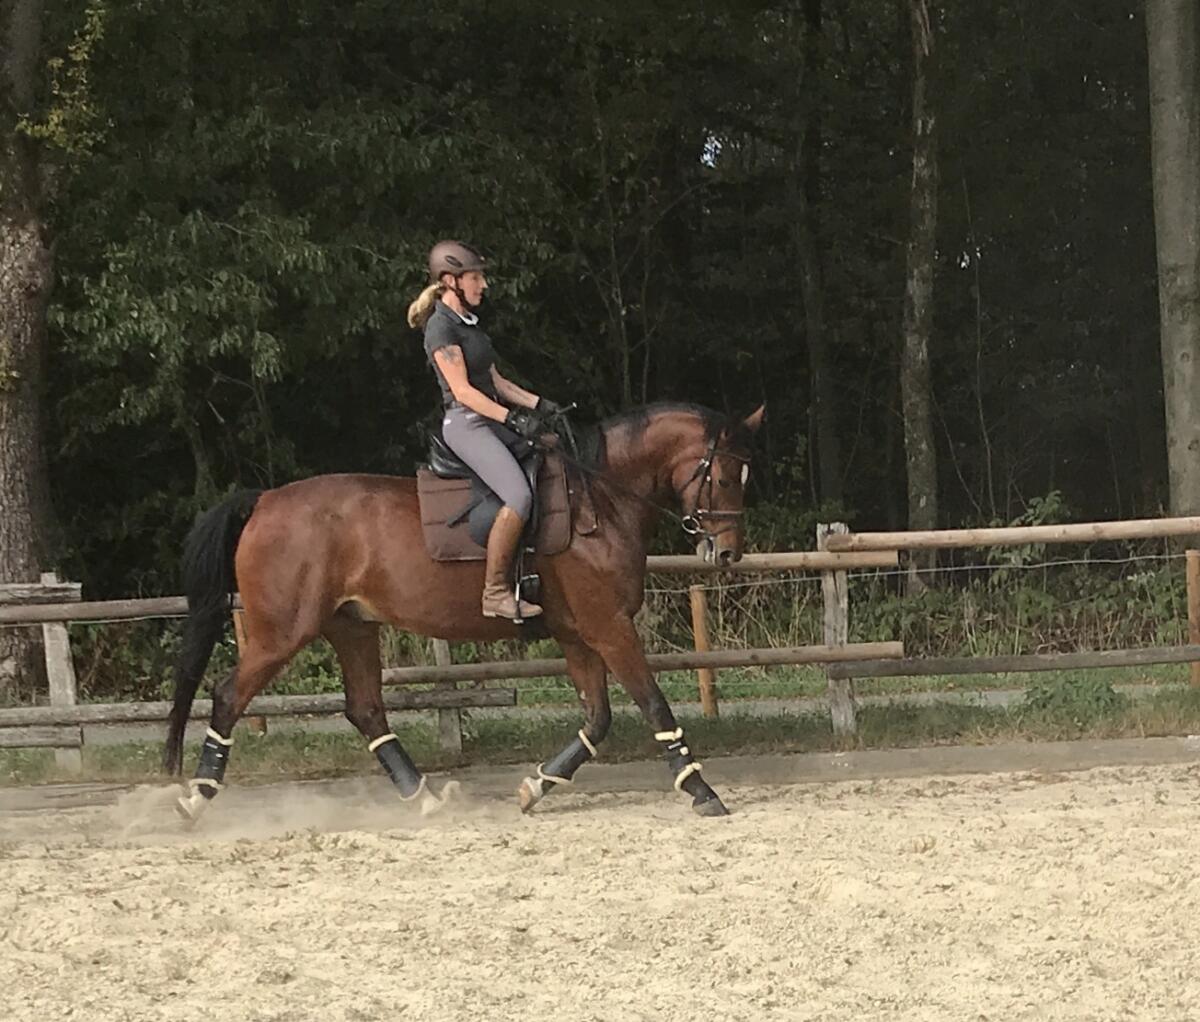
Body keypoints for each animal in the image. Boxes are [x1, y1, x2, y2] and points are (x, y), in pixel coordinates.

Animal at [163, 402, 764, 820]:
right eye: (722, 475)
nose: (727, 553)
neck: (600, 497)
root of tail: (265, 500)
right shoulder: (609, 628)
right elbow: (654, 705)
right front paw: (701, 790)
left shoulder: (578, 635)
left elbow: (597, 718)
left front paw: (534, 787)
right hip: (281, 632)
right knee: (227, 695)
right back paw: (196, 798)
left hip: (351, 627)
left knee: (365, 710)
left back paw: (425, 799)